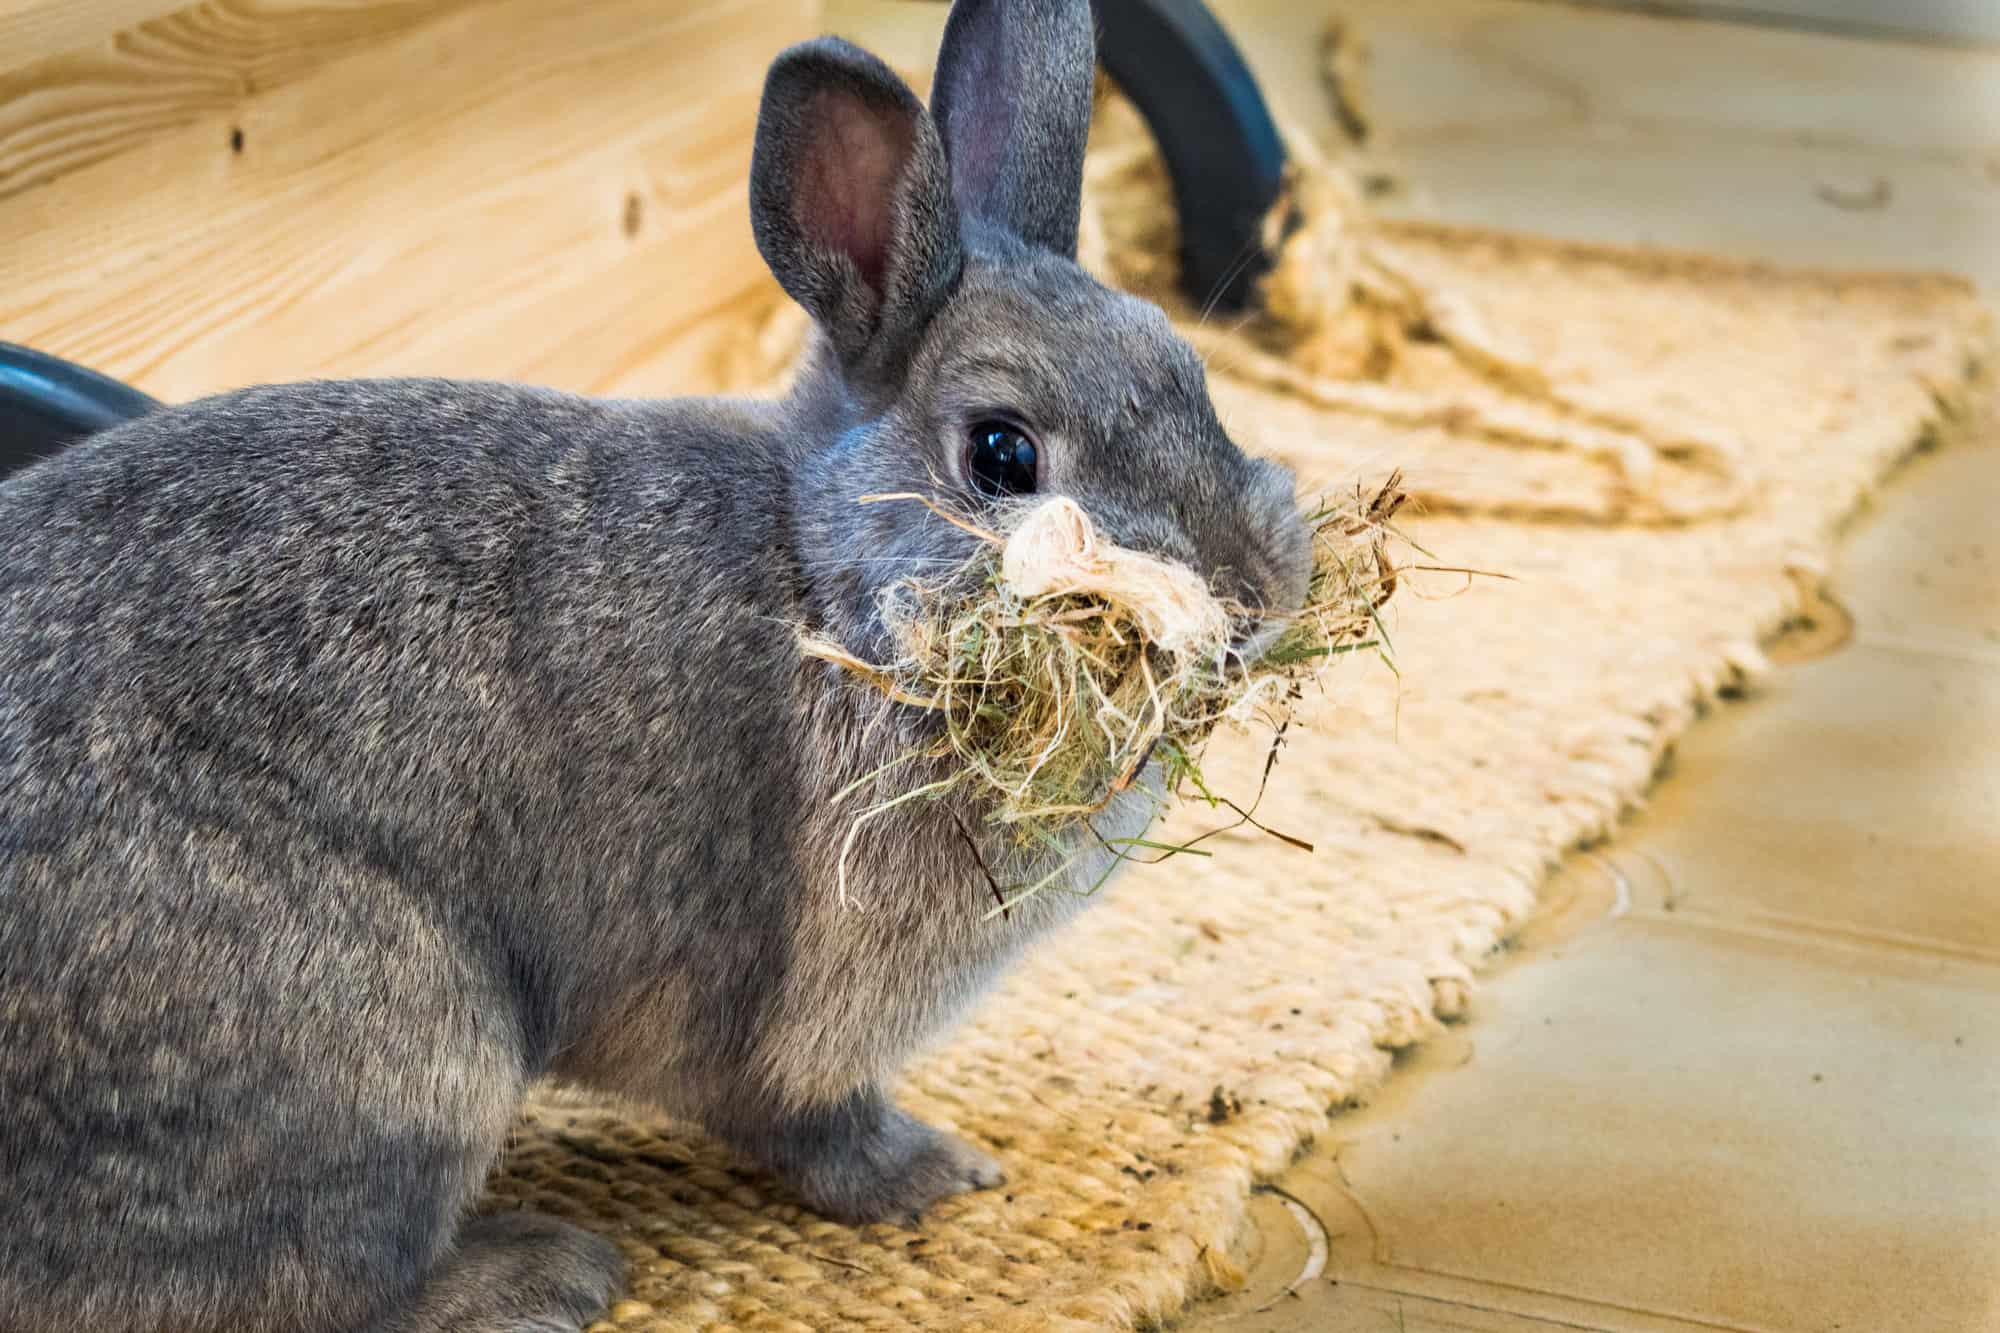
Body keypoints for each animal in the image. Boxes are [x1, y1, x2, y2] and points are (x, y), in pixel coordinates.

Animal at [0, 2, 1312, 1328]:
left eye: (1188, 372)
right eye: (1002, 455)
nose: (1253, 593)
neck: (820, 583)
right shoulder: (793, 1015)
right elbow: (814, 1123)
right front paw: (936, 1176)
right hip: (394, 1064)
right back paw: (545, 1269)